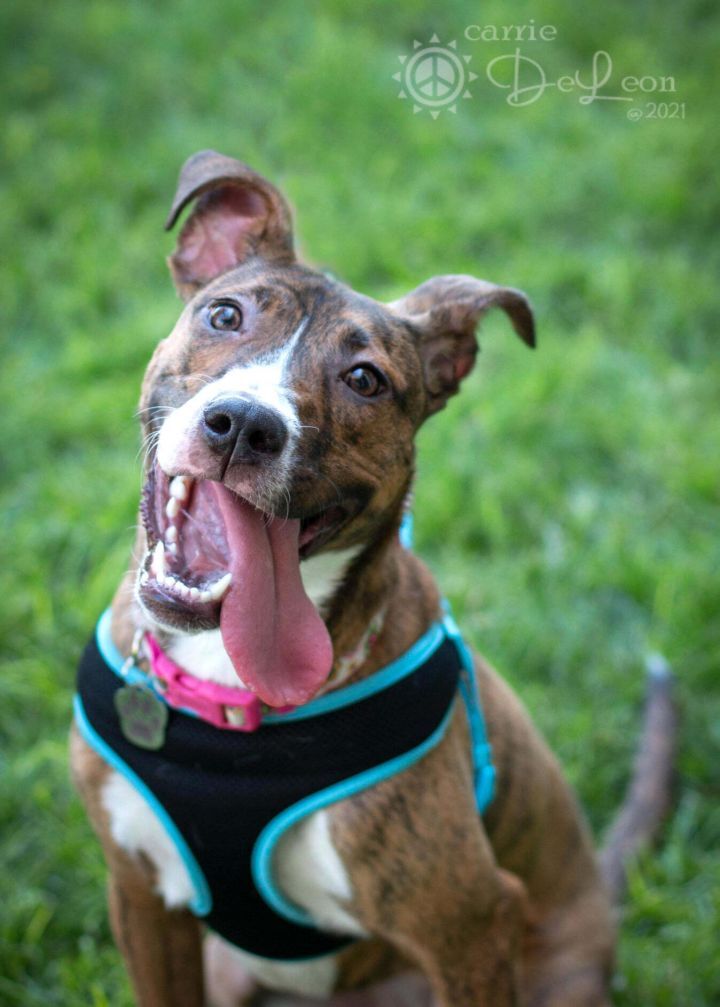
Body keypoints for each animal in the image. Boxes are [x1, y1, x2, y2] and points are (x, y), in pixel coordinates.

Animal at [70, 149, 672, 1007]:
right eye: (225, 316)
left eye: (365, 379)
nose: (244, 425)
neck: (234, 689)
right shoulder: (140, 898)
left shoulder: (469, 922)